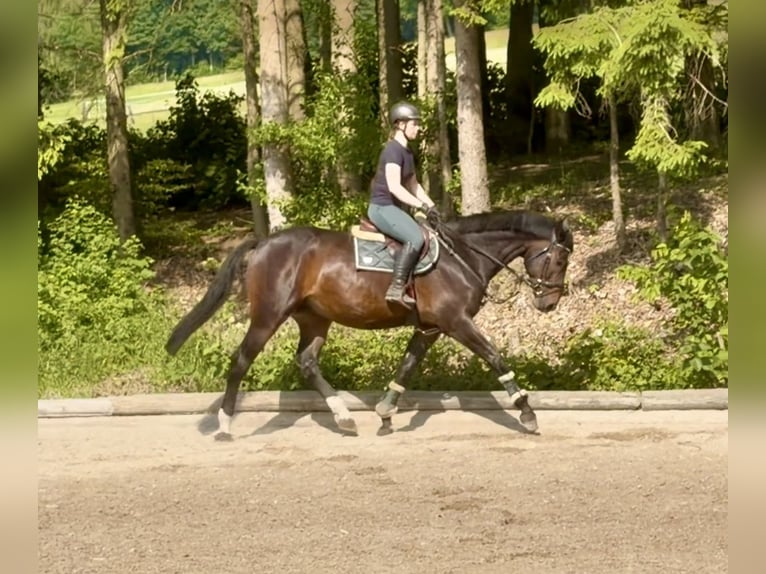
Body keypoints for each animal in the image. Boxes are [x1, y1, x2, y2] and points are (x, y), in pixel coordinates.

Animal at [166, 209, 574, 439]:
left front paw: (386, 414)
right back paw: (225, 426)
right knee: (240, 361)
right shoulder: (455, 321)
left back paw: (344, 417)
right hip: (268, 316)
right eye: (559, 260)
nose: (550, 302)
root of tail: (265, 242)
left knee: (307, 362)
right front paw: (527, 413)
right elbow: (495, 358)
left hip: (314, 318)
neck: (462, 256)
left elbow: (407, 367)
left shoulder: (430, 328)